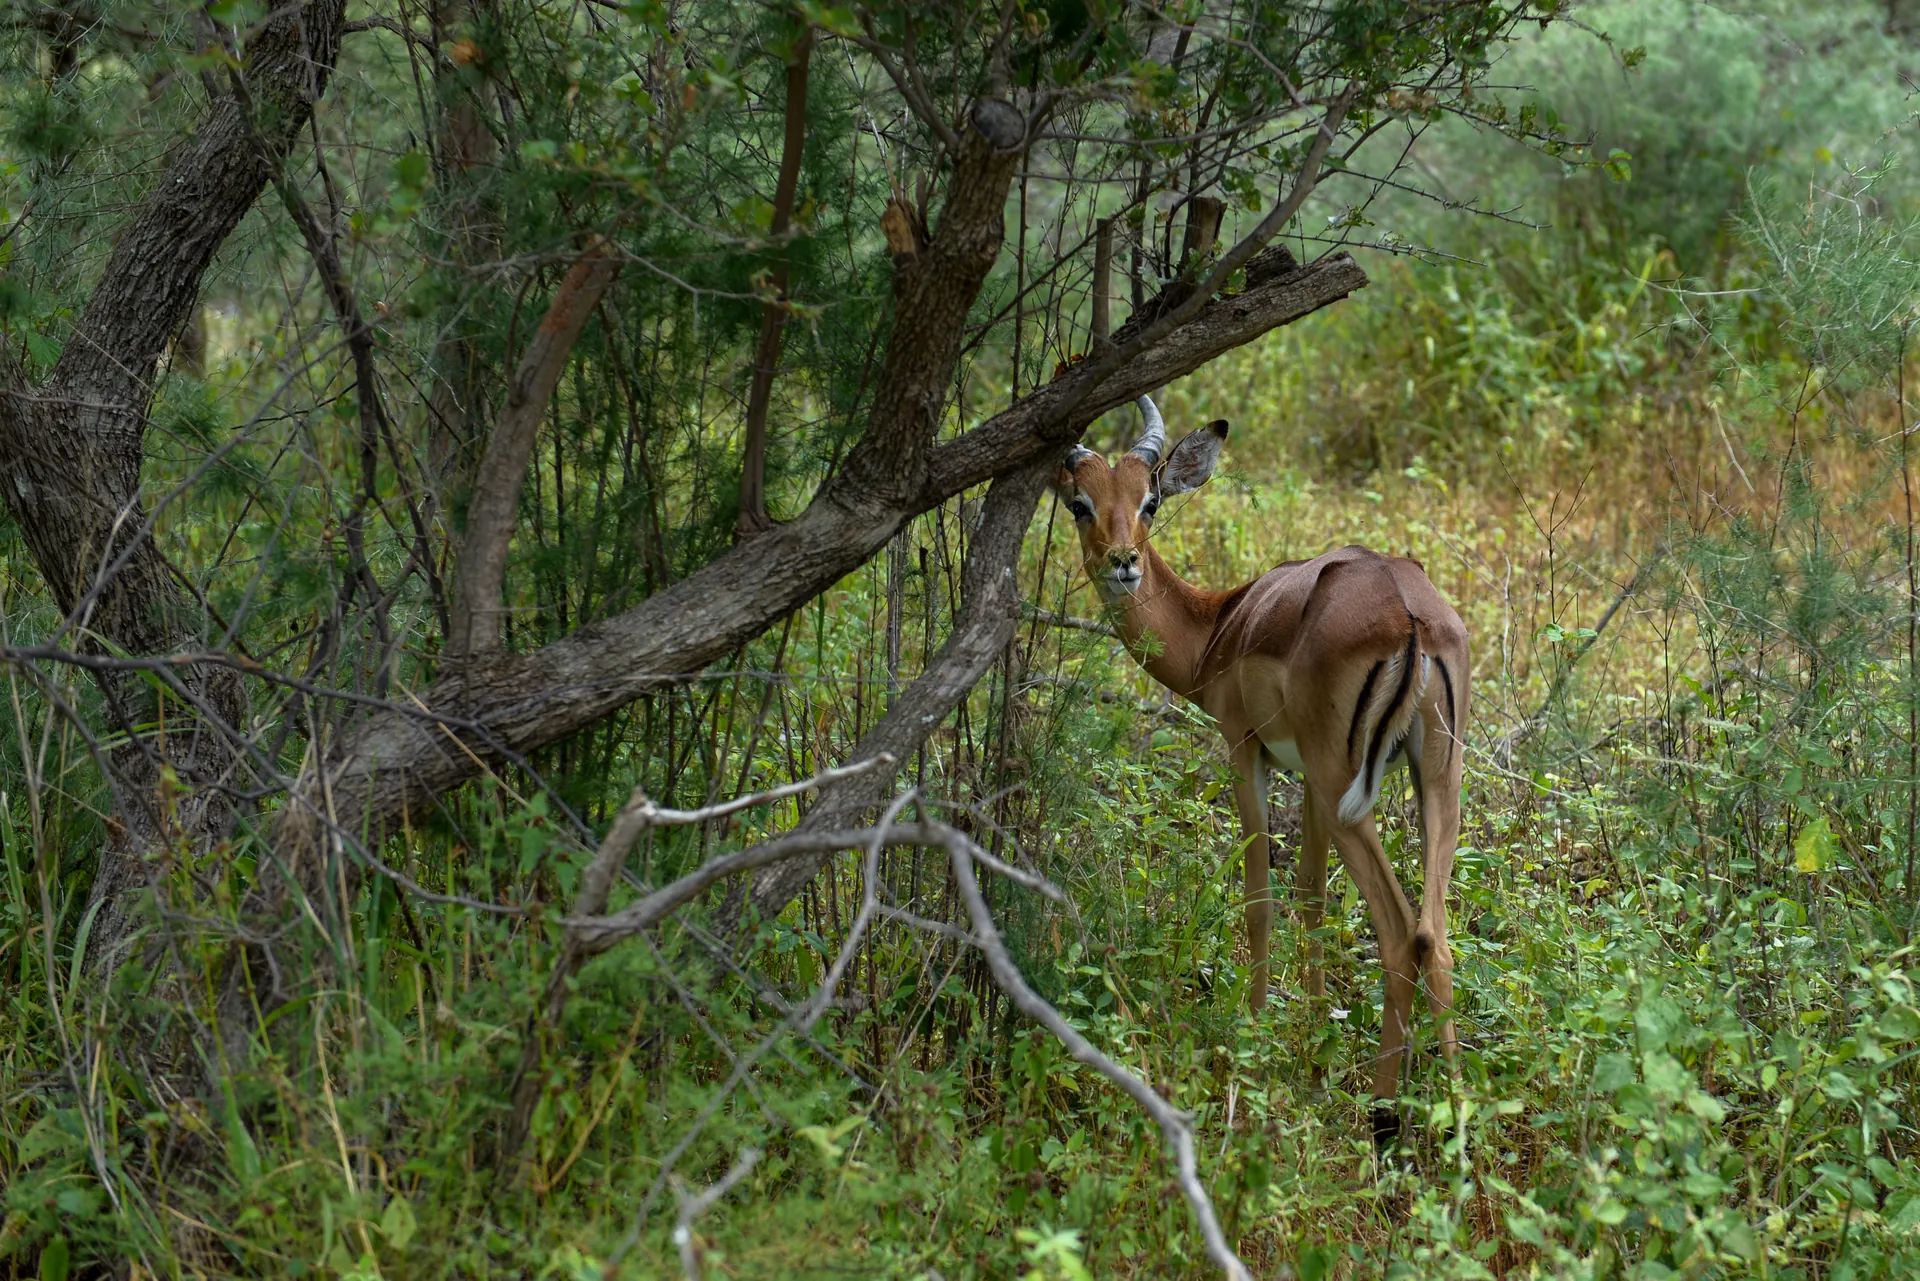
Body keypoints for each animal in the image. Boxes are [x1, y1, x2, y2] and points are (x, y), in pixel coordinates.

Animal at [1054, 396, 1470, 1139]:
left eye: (1150, 500)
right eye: (1082, 502)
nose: (1124, 562)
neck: (1222, 625)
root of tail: (1410, 616)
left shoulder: (1246, 750)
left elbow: (1259, 898)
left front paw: (1253, 1040)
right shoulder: (1304, 774)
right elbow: (1309, 895)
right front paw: (1312, 1047)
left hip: (1345, 787)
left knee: (1402, 935)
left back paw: (1384, 1116)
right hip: (1431, 780)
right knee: (1437, 935)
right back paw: (1453, 1121)